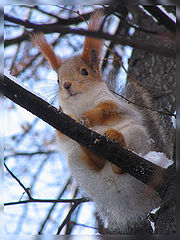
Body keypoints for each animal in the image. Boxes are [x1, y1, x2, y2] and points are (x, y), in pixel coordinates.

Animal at [31, 10, 163, 233]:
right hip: (76, 162)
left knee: (123, 158)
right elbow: (61, 133)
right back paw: (92, 154)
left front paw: (88, 117)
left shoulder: (114, 104)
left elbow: (106, 111)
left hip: (136, 136)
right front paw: (71, 119)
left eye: (84, 71)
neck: (80, 103)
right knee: (95, 163)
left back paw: (116, 138)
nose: (66, 85)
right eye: (57, 79)